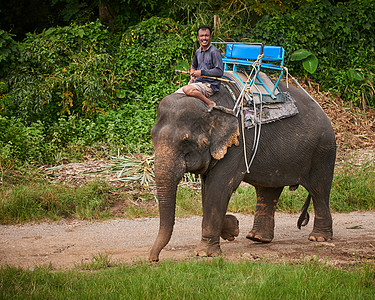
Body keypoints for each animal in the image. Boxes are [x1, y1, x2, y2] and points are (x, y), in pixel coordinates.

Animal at [150, 81, 338, 262]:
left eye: (186, 141)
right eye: (152, 136)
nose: (154, 259)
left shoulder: (237, 145)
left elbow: (219, 187)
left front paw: (205, 254)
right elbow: (207, 188)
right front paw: (232, 229)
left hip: (323, 152)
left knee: (319, 190)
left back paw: (318, 238)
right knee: (268, 189)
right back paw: (257, 238)